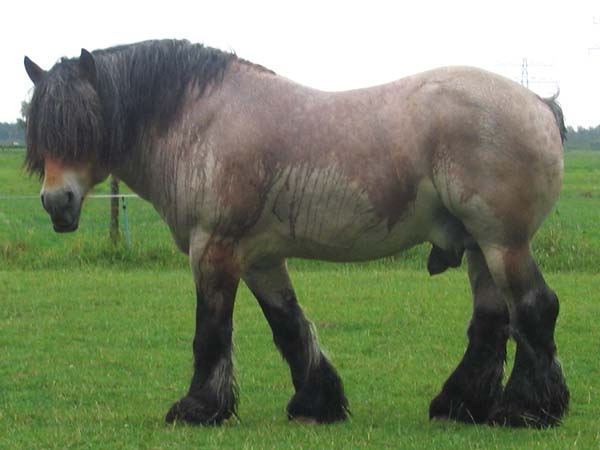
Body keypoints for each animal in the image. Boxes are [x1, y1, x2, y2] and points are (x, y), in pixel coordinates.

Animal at [23, 37, 568, 426]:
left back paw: (526, 410)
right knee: (492, 322)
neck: (200, 121)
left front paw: (199, 407)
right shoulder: (260, 259)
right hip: (480, 247)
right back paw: (461, 405)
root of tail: (538, 103)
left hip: (503, 244)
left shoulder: (213, 250)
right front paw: (317, 402)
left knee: (534, 309)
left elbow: (211, 330)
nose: (56, 202)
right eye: (41, 131)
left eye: (82, 127)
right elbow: (287, 324)